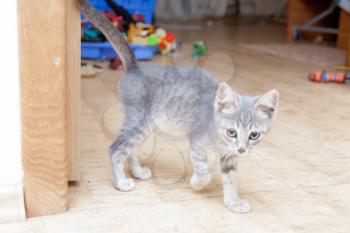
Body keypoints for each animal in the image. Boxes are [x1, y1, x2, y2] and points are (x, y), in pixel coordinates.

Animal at [77, 0, 278, 213]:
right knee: (116, 148)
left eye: (254, 135)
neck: (219, 135)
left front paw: (233, 202)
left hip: (147, 125)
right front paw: (196, 184)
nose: (242, 149)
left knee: (129, 149)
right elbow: (204, 172)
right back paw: (121, 182)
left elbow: (231, 180)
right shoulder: (196, 142)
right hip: (140, 121)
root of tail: (135, 67)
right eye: (231, 131)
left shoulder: (229, 157)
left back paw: (137, 171)